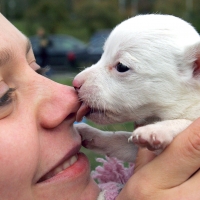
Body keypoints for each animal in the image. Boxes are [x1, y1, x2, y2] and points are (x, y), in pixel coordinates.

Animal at [72, 14, 200, 163]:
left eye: (121, 66)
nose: (75, 83)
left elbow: (185, 122)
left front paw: (157, 130)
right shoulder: (132, 149)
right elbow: (118, 139)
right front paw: (91, 133)